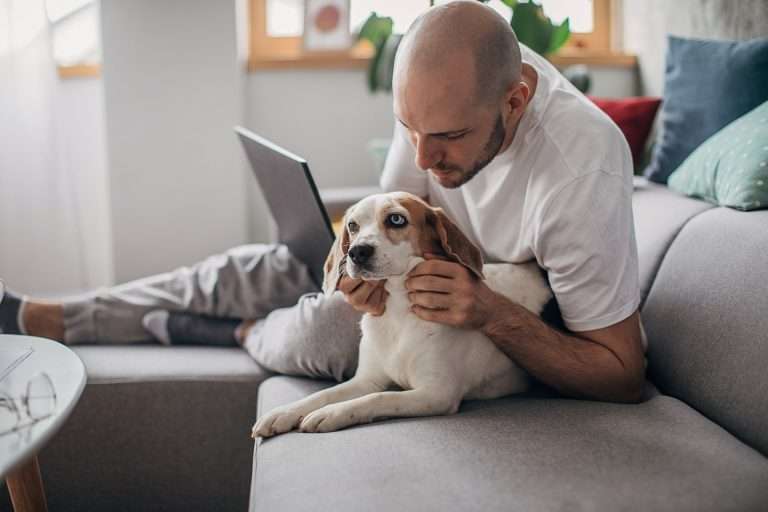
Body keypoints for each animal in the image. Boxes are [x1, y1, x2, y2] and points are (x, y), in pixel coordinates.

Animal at [252, 190, 552, 438]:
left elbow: (378, 398)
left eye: (396, 219)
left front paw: (332, 413)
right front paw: (284, 413)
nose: (357, 252)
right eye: (353, 225)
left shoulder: (436, 394)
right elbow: (324, 394)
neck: (398, 314)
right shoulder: (366, 380)